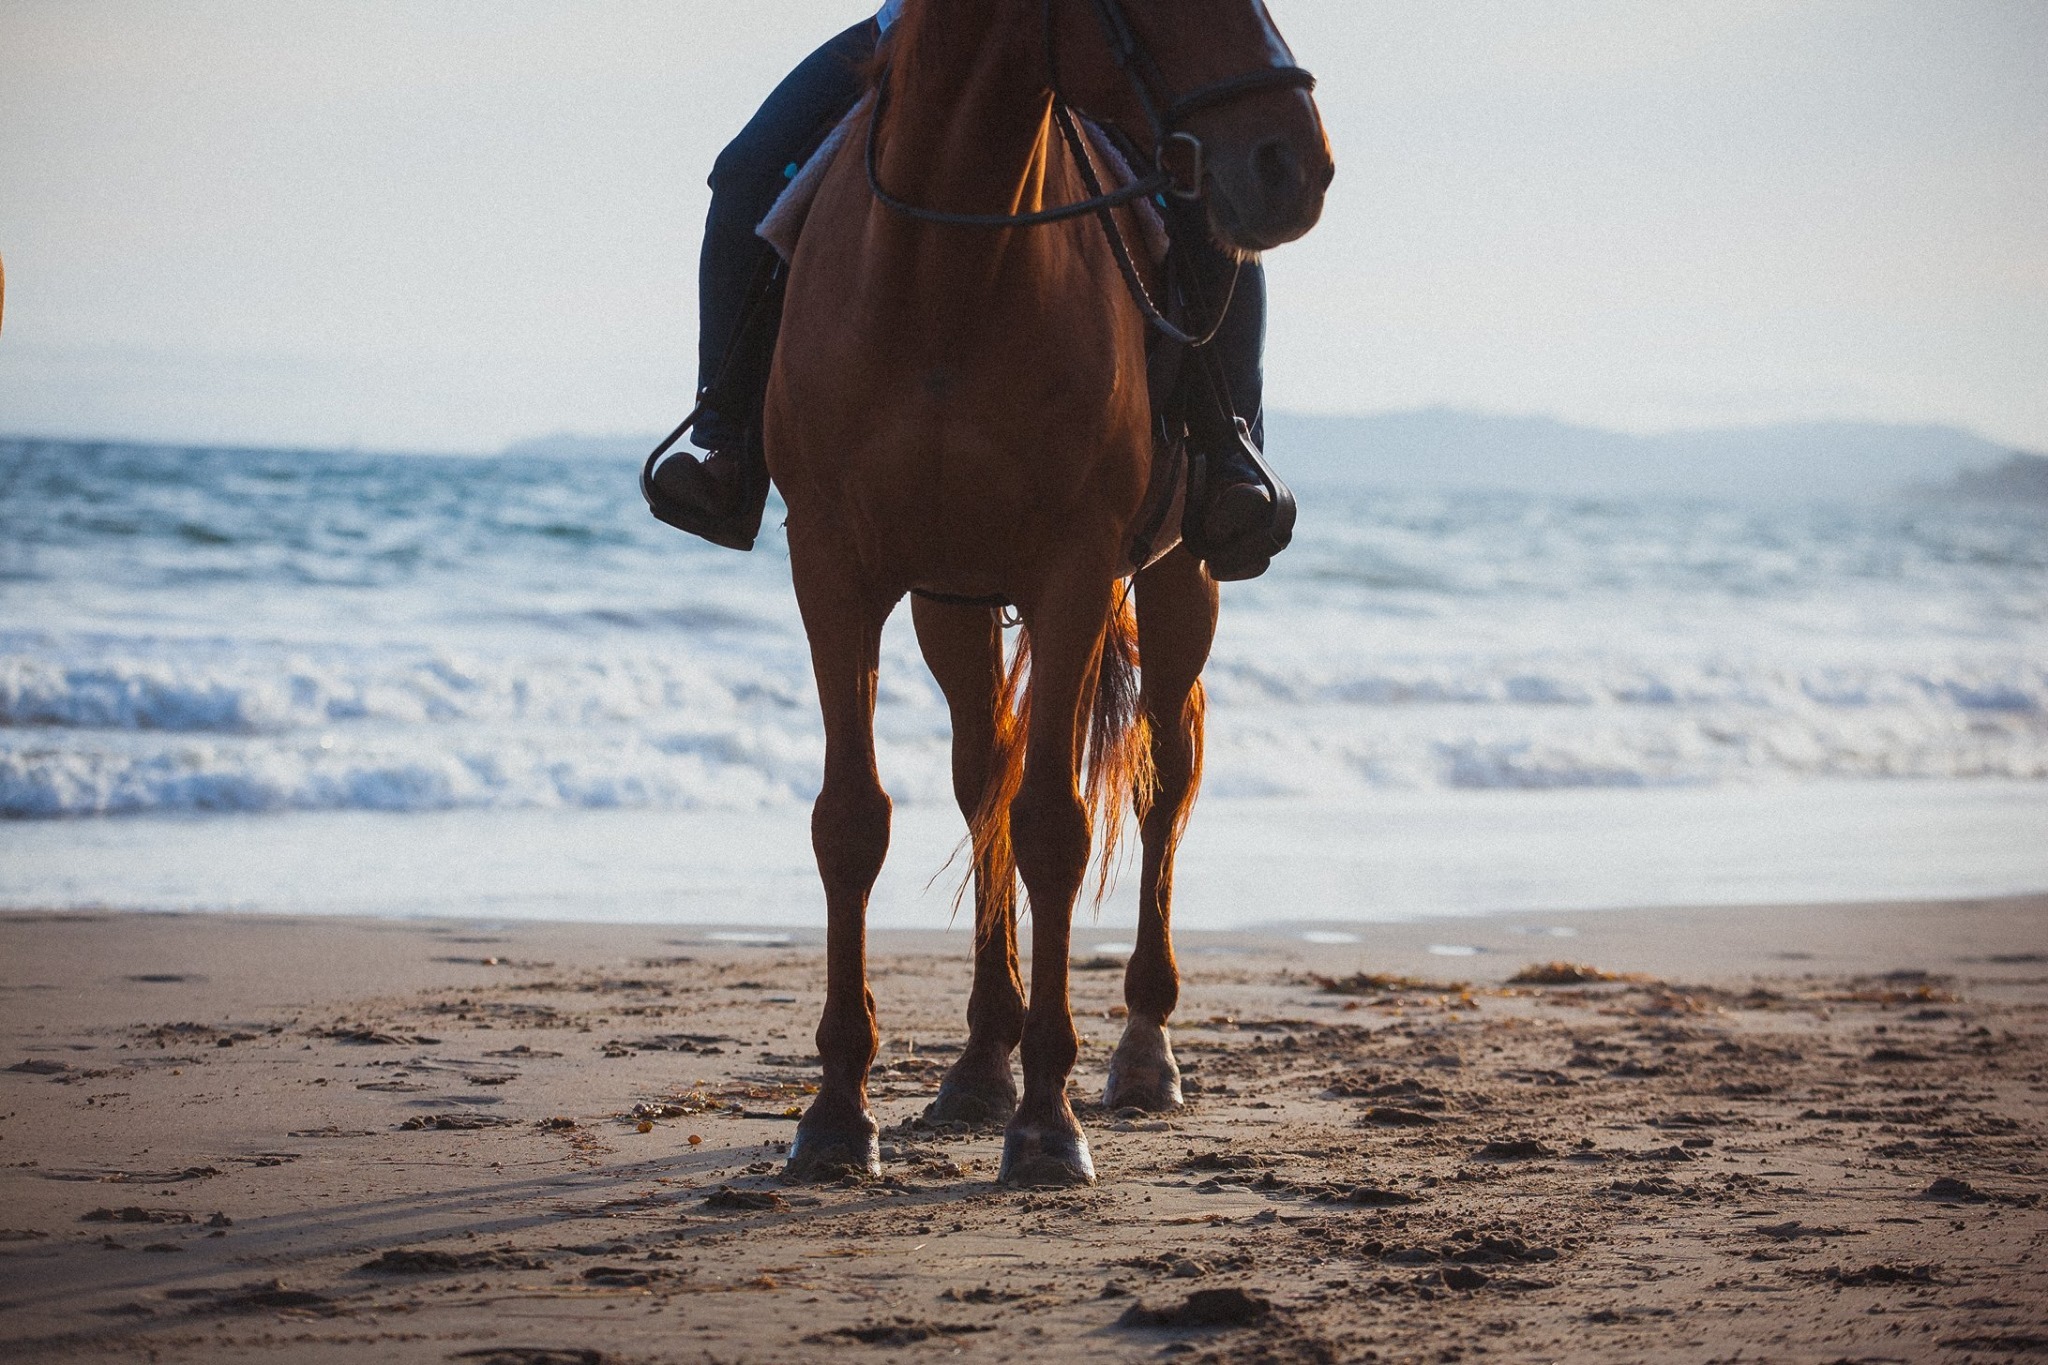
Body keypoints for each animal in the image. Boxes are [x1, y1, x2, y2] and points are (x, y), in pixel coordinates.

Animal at [763, 0, 1331, 1187]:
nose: (1294, 165)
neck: (950, 264)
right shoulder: (834, 566)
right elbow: (852, 821)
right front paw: (837, 1114)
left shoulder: (1074, 567)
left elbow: (1056, 828)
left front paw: (1047, 1120)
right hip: (952, 602)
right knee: (984, 776)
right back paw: (979, 1061)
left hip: (1178, 584)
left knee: (1162, 781)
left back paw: (1141, 1052)